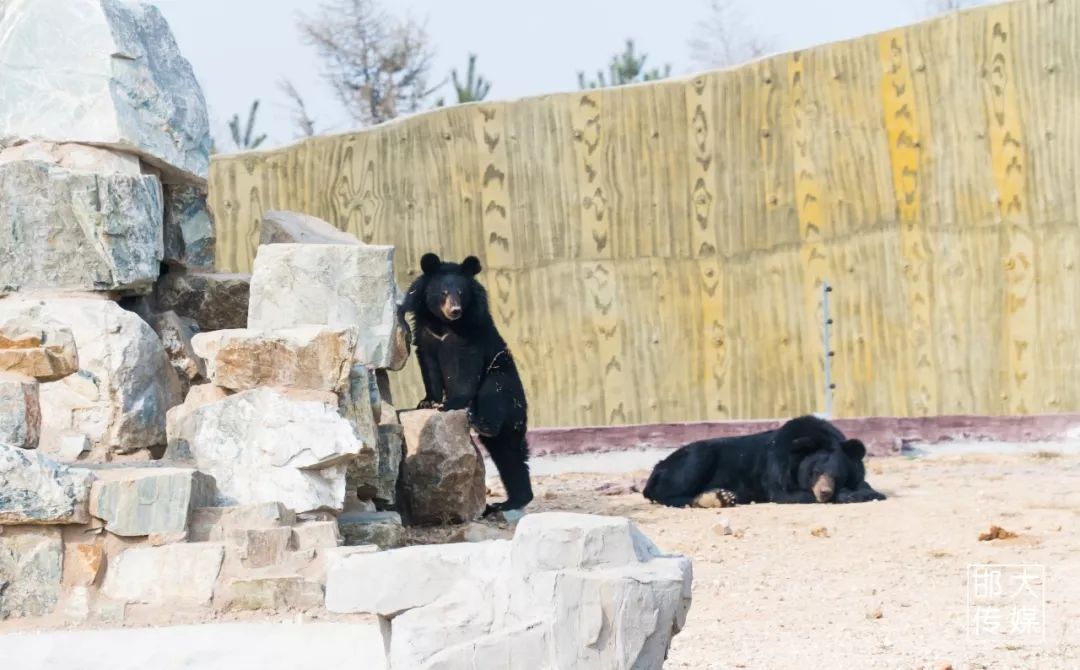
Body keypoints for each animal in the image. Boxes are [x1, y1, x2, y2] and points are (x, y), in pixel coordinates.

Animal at [399, 253, 533, 516]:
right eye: (443, 292)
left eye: (461, 292)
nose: (455, 310)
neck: (444, 324)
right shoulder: (426, 334)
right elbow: (428, 365)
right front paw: (427, 401)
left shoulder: (472, 334)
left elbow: (467, 370)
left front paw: (449, 403)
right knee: (509, 455)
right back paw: (509, 501)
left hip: (504, 386)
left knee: (492, 396)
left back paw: (481, 423)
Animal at [639, 412, 885, 507]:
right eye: (814, 473)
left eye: (838, 475)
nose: (824, 492)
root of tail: (657, 467)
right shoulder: (776, 470)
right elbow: (788, 494)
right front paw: (849, 495)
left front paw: (869, 491)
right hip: (694, 457)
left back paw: (721, 497)